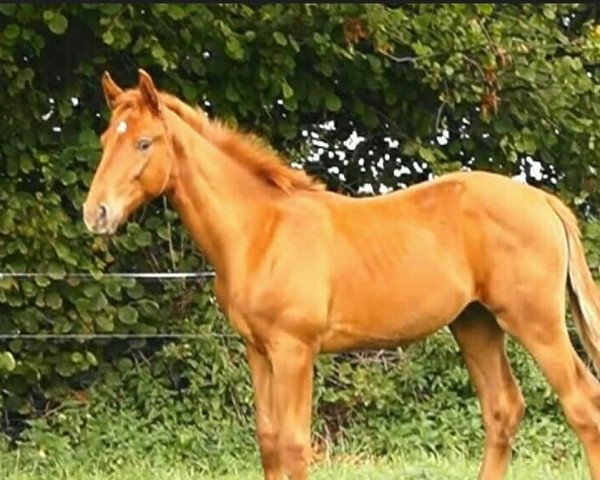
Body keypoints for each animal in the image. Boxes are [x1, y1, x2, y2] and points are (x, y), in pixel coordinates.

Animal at [83, 69, 600, 478]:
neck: (260, 230)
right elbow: (268, 440)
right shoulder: (258, 350)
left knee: (583, 405)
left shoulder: (294, 350)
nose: (96, 213)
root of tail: (543, 200)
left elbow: (294, 445)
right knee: (502, 411)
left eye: (144, 142)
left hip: (535, 322)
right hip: (476, 323)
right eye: (106, 140)